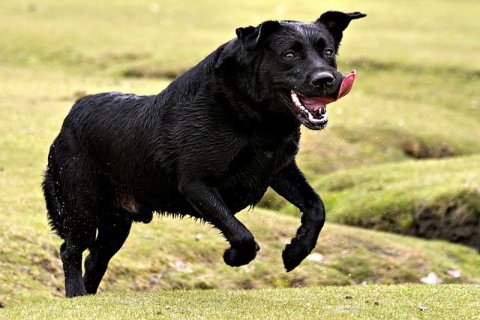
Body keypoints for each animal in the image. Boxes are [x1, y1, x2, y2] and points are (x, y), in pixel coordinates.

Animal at [43, 11, 366, 298]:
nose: (327, 79)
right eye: (289, 55)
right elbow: (241, 234)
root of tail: (69, 118)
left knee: (95, 258)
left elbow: (317, 207)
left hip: (117, 221)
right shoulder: (196, 185)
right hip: (81, 207)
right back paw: (75, 294)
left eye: (327, 51)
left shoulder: (280, 169)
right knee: (71, 249)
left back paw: (88, 296)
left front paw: (295, 252)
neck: (252, 118)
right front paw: (233, 256)